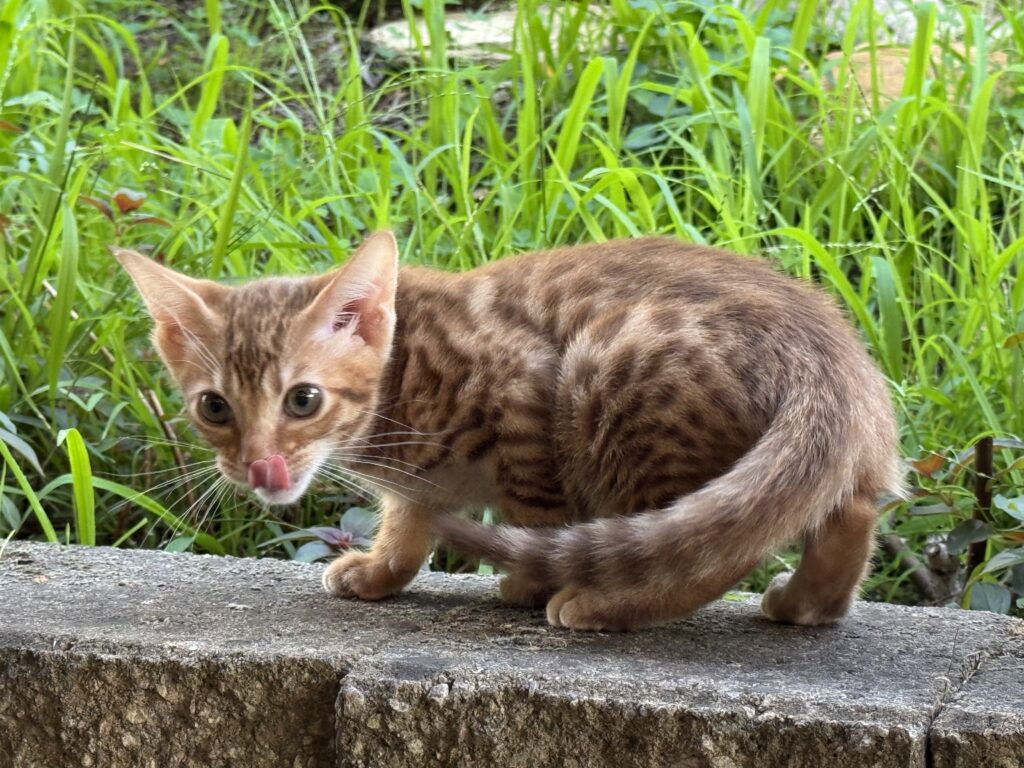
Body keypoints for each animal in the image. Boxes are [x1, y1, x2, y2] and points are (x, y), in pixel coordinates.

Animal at [116, 232, 903, 631]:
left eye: (303, 399)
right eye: (214, 408)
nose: (259, 467)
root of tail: (830, 353)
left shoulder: (524, 381)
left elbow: (534, 505)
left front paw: (527, 579)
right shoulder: (415, 481)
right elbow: (409, 523)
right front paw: (382, 570)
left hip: (604, 376)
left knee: (711, 551)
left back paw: (606, 603)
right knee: (847, 509)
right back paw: (809, 604)